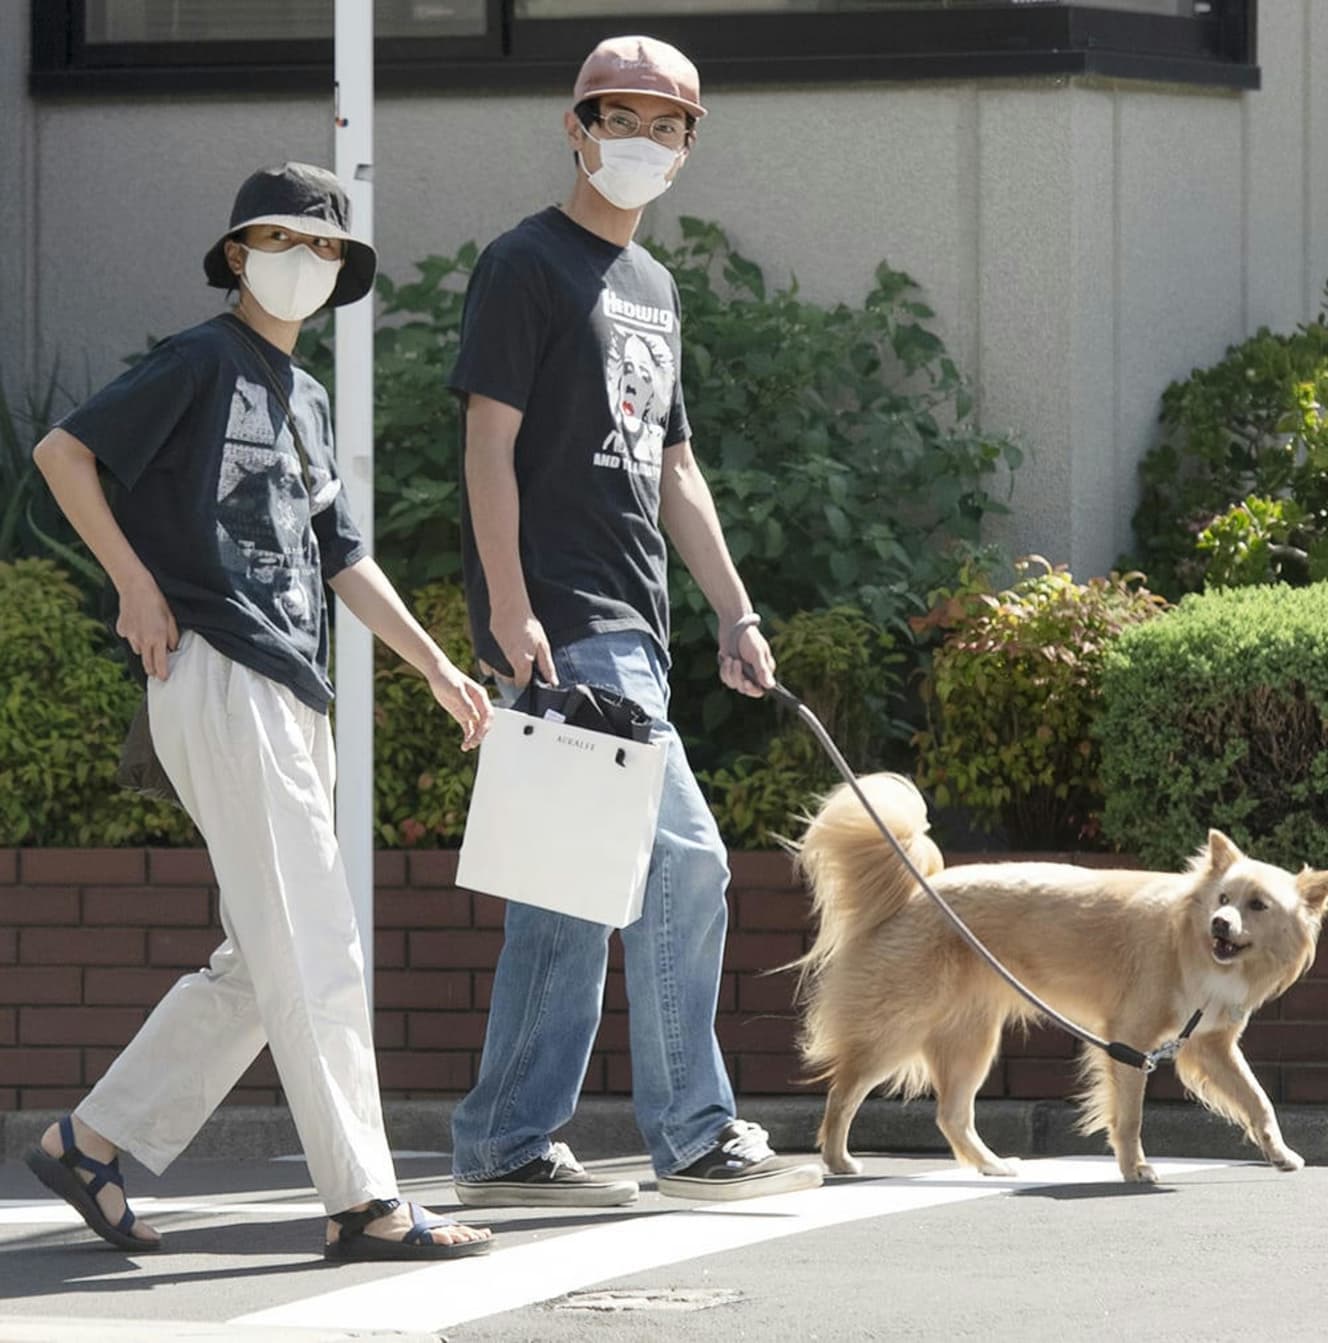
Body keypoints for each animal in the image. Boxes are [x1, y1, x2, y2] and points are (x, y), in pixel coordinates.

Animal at [794, 773, 1321, 1181]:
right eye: (1223, 900)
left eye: (1258, 906)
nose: (1219, 925)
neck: (1188, 947)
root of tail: (914, 894)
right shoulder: (1131, 1043)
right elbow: (1130, 1116)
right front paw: (1135, 1169)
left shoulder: (1211, 1046)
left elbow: (1258, 1100)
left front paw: (1281, 1154)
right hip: (902, 1028)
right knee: (845, 1089)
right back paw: (837, 1160)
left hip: (972, 1040)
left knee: (951, 1114)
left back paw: (991, 1166)